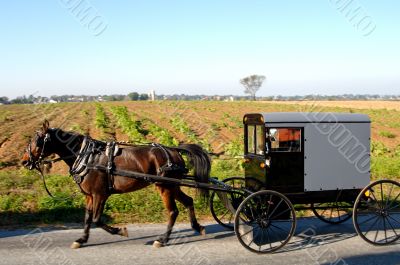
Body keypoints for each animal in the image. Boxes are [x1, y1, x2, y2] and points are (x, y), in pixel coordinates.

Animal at [21, 119, 211, 248]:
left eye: (38, 141)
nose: (24, 161)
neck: (87, 157)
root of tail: (174, 150)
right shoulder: (89, 196)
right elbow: (87, 218)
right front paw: (81, 239)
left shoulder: (100, 194)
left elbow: (97, 219)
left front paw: (120, 231)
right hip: (172, 186)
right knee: (188, 201)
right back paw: (197, 227)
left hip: (165, 187)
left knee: (173, 212)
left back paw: (162, 240)